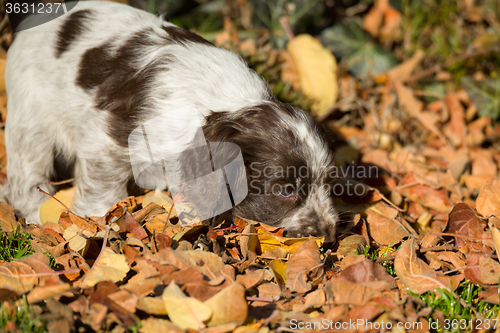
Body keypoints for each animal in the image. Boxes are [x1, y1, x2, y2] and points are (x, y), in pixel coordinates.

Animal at [1, 1, 338, 243]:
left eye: (329, 183)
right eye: (285, 191)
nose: (329, 237)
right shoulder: (107, 140)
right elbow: (103, 188)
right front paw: (94, 222)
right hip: (30, 115)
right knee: (26, 170)